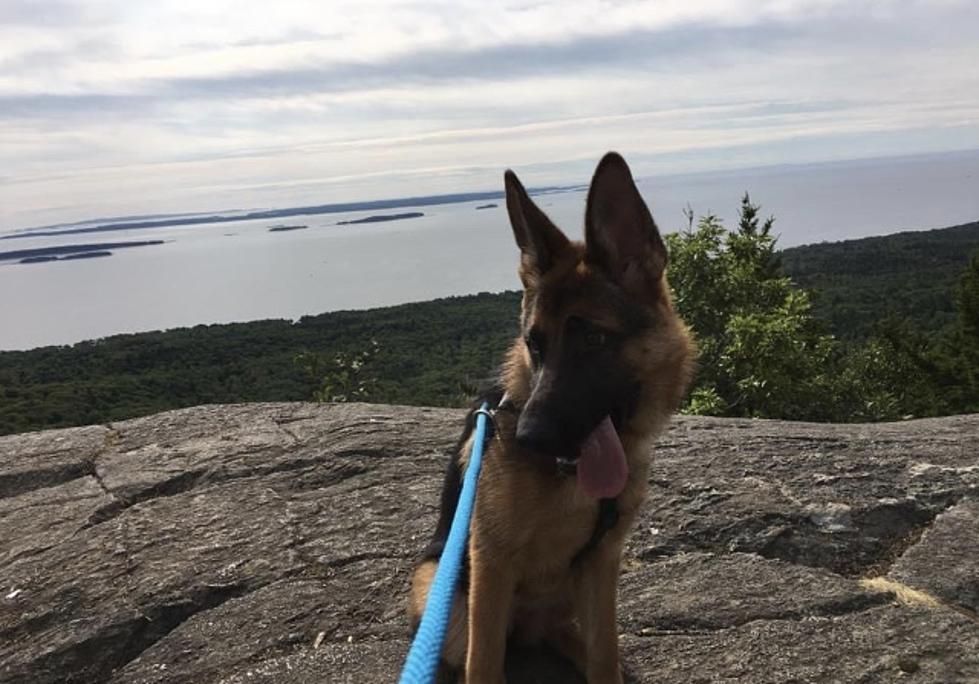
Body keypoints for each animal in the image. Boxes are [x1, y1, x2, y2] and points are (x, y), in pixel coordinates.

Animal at [410, 152, 692, 680]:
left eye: (594, 339)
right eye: (534, 344)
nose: (529, 437)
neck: (569, 478)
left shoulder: (601, 566)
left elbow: (604, 657)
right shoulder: (490, 566)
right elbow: (483, 666)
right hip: (440, 590)